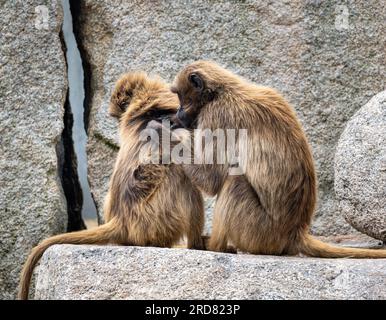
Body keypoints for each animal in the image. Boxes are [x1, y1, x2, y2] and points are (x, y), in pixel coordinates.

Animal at [171, 61, 386, 258]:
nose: (178, 113)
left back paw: (215, 246)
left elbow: (212, 180)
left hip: (260, 232)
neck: (222, 92)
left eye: (181, 96)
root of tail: (295, 232)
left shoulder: (216, 115)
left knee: (235, 181)